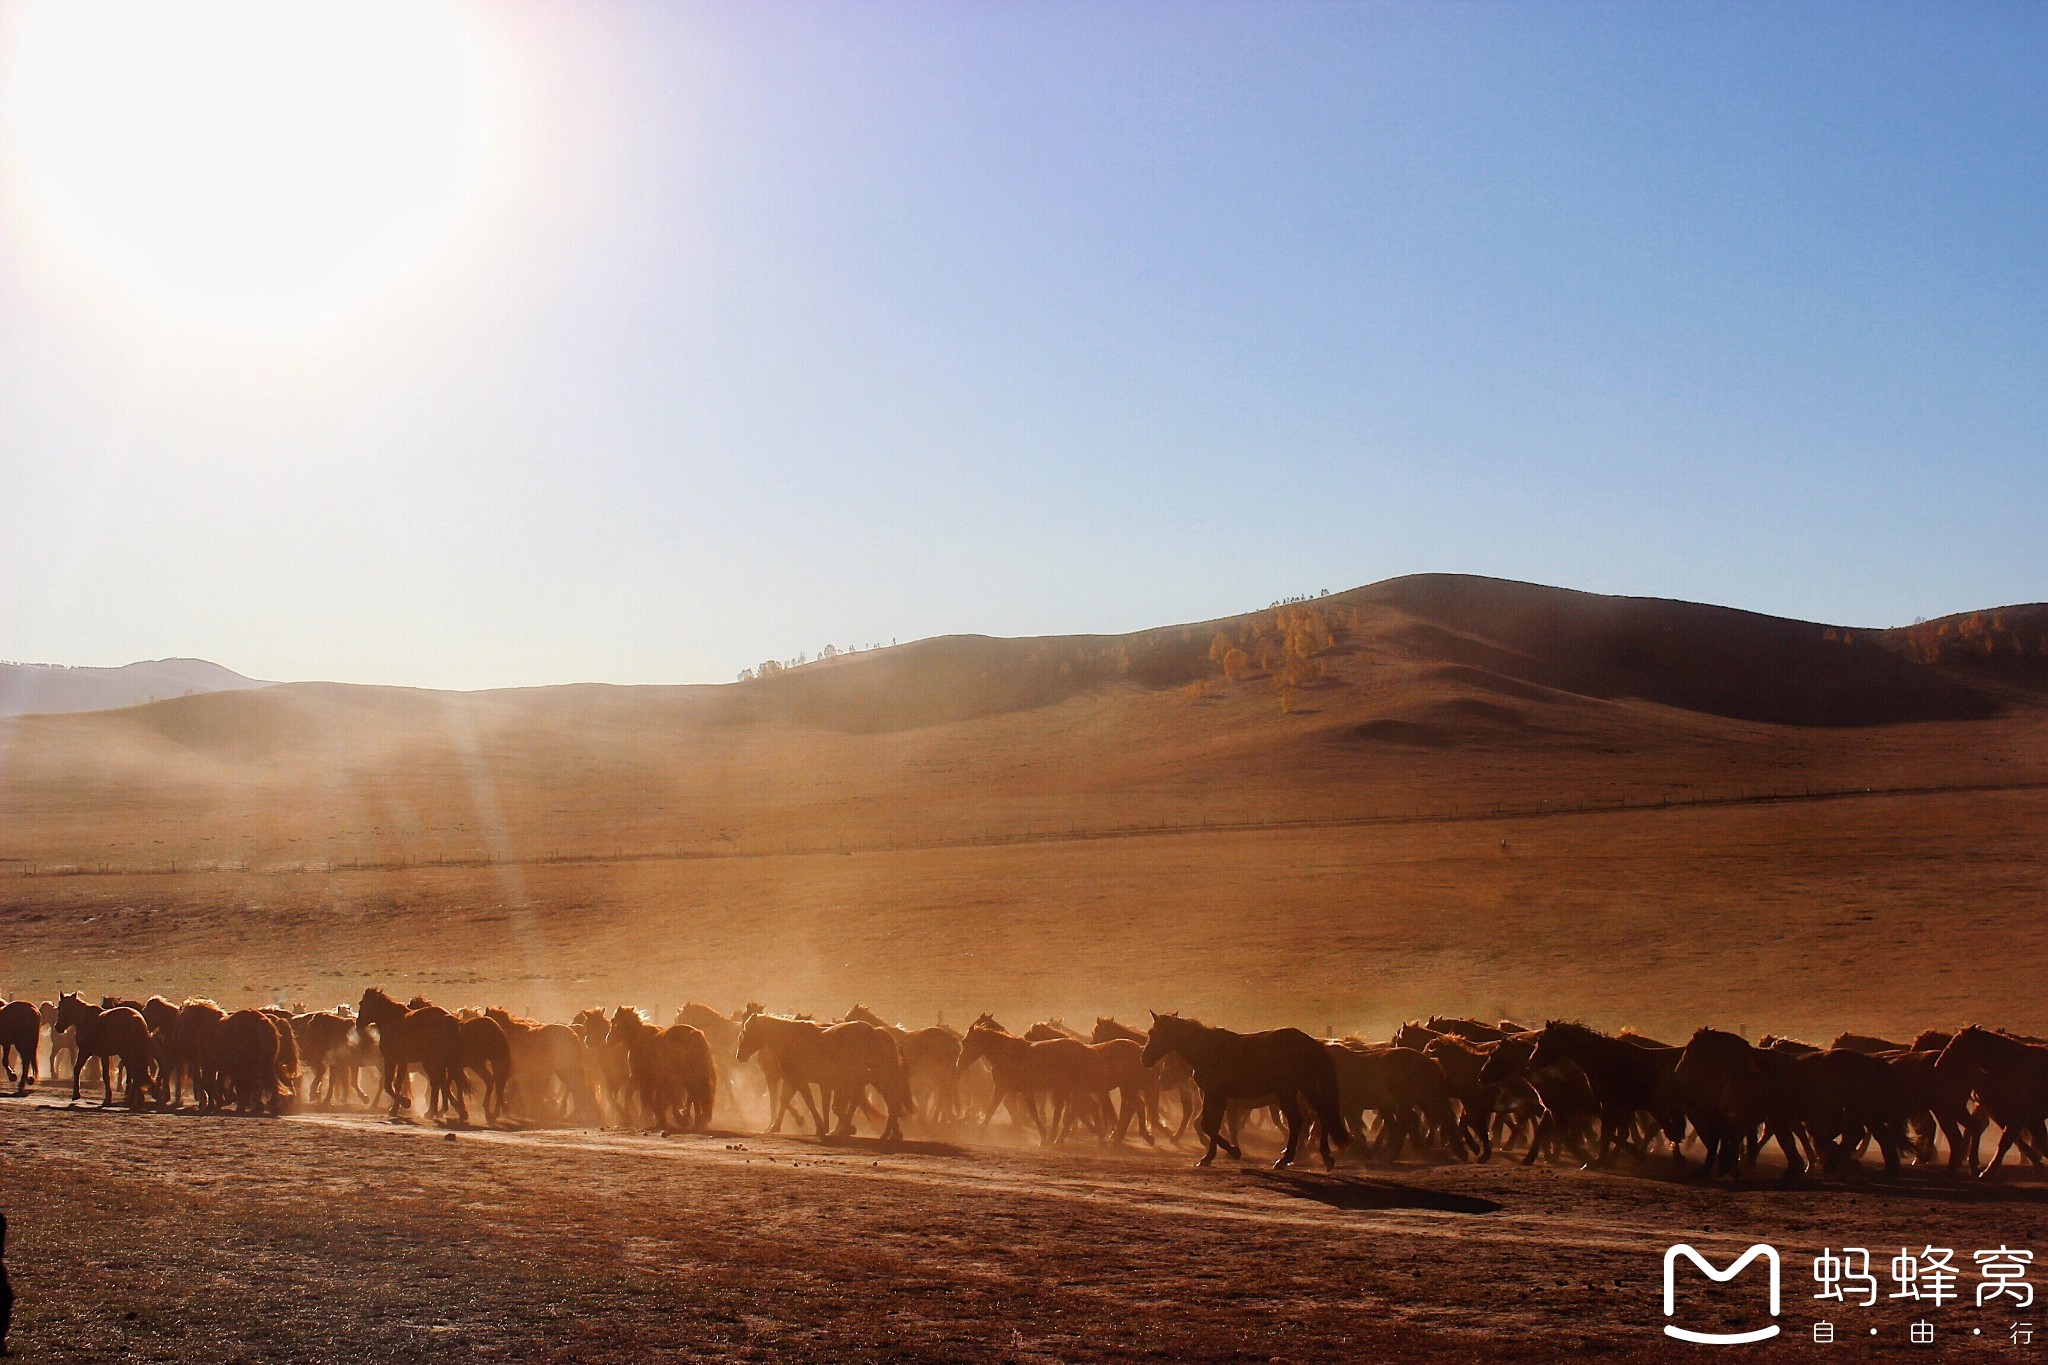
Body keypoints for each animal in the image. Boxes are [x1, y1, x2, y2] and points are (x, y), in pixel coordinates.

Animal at [1146, 1010, 1351, 1170]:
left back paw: (1286, 1159)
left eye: (1154, 1033)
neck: (1208, 1050)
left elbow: (1208, 1125)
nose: (1144, 1058)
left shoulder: (1216, 1096)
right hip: (1302, 1089)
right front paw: (1209, 1157)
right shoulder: (1215, 1097)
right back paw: (1324, 1156)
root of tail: (1313, 1043)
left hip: (1290, 1091)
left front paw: (1234, 1151)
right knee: (1319, 1115)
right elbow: (1212, 1125)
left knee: (1299, 1120)